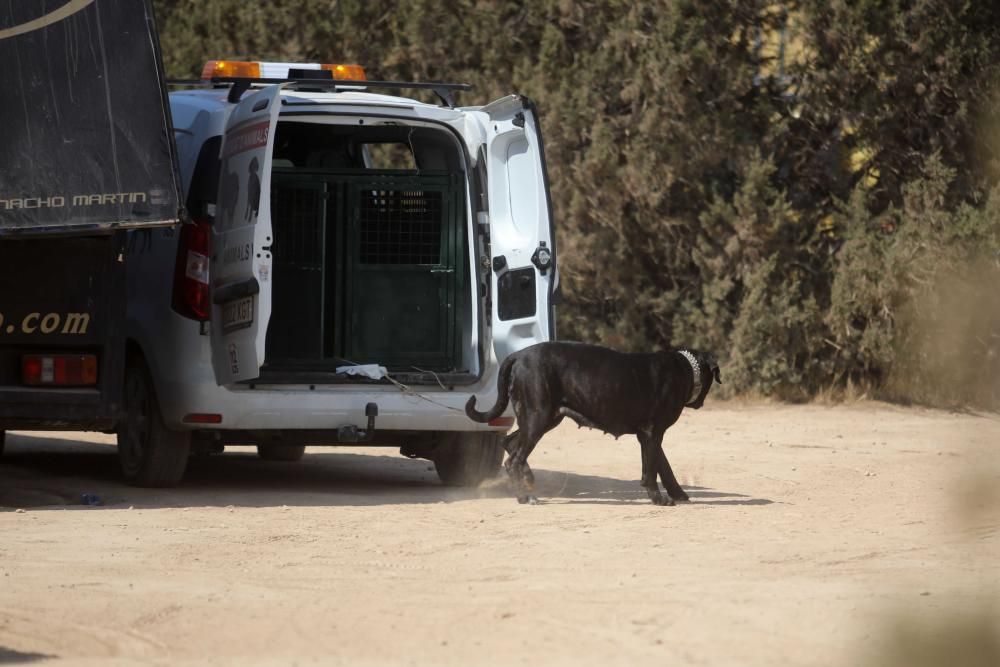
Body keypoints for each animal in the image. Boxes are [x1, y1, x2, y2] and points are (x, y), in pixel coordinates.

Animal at [464, 342, 724, 504]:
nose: (701, 403)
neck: (685, 369)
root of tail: (518, 355)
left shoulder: (649, 436)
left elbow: (663, 465)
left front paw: (677, 493)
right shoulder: (652, 433)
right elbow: (651, 470)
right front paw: (658, 498)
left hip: (545, 418)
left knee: (510, 443)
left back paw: (528, 479)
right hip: (538, 417)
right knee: (514, 459)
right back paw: (524, 496)